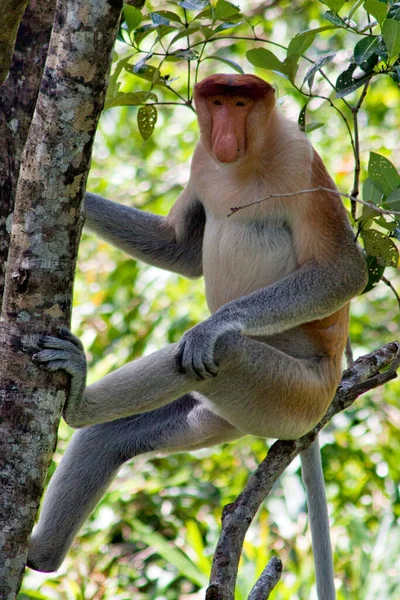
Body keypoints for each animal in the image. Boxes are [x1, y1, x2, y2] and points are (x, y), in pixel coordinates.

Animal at [26, 72, 368, 596]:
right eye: (218, 102)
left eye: (242, 104)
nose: (224, 135)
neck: (245, 161)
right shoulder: (201, 160)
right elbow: (180, 247)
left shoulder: (299, 160)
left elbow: (346, 272)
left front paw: (212, 326)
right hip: (220, 416)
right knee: (109, 437)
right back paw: (40, 554)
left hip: (289, 396)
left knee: (224, 355)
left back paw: (79, 397)